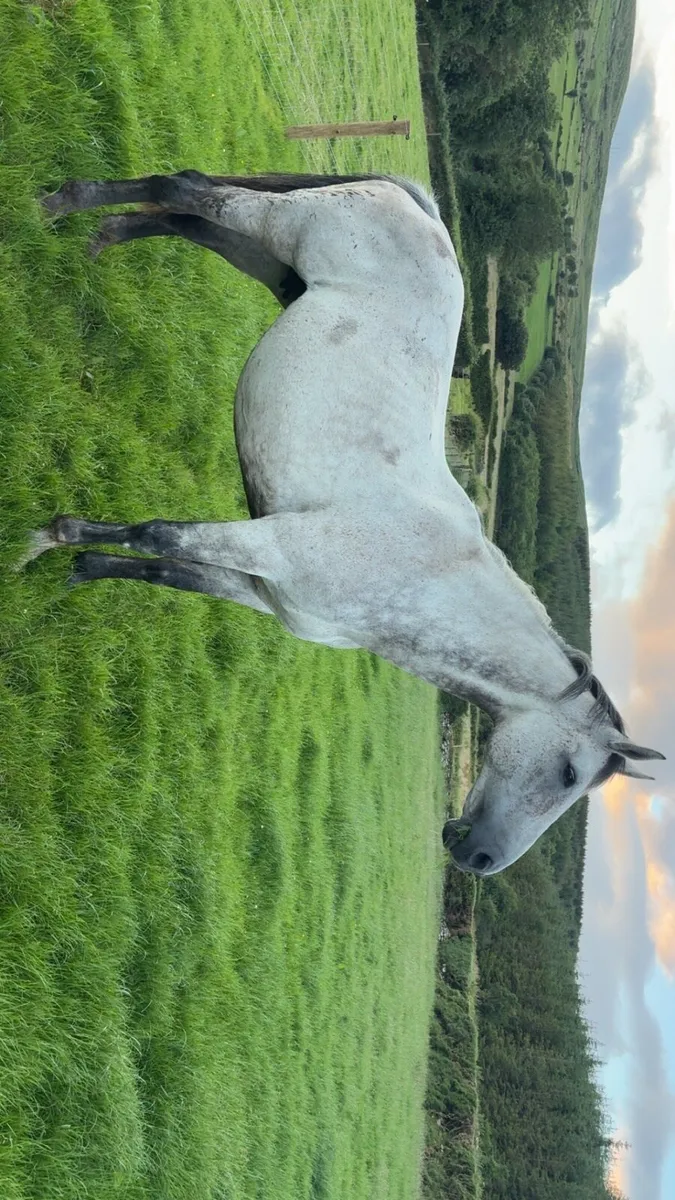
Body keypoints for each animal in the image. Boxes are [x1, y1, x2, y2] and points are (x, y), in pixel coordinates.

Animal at [20, 170, 665, 874]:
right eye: (569, 774)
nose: (480, 860)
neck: (421, 578)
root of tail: (422, 209)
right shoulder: (270, 546)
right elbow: (156, 534)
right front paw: (44, 541)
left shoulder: (262, 589)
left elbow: (165, 570)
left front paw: (83, 568)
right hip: (279, 227)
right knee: (187, 191)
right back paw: (56, 208)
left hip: (270, 262)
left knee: (186, 220)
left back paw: (98, 236)